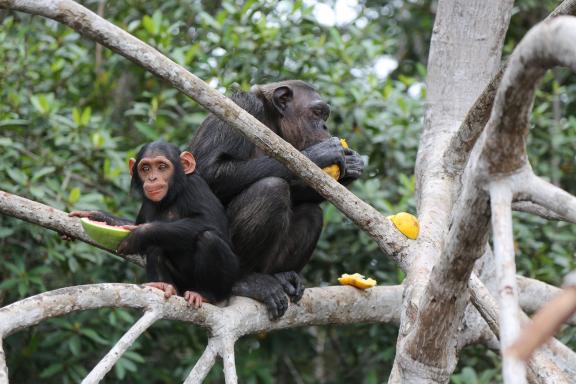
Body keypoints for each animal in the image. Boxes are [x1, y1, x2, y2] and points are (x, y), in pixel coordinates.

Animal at [71, 141, 240, 308]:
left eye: (162, 167)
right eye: (145, 168)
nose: (152, 178)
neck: (171, 196)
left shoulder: (195, 187)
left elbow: (208, 221)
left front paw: (140, 234)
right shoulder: (145, 203)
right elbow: (137, 224)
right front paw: (96, 215)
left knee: (209, 238)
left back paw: (205, 294)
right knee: (155, 245)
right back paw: (163, 285)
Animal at [189, 79, 364, 316]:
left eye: (324, 116)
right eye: (317, 113)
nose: (325, 127)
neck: (273, 123)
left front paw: (352, 167)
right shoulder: (242, 107)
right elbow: (209, 169)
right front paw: (320, 153)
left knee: (311, 211)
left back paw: (283, 276)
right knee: (271, 189)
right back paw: (246, 281)